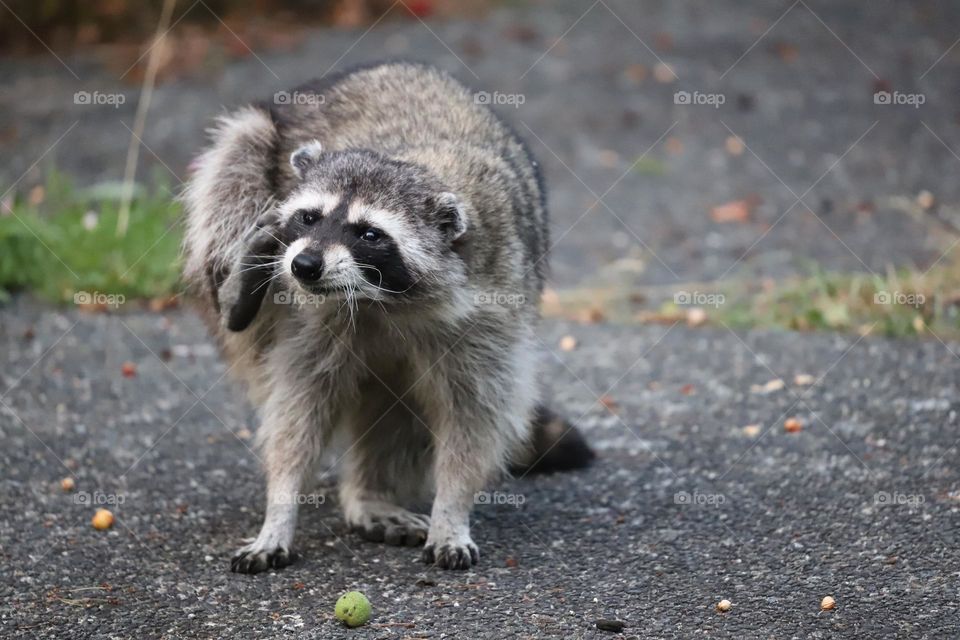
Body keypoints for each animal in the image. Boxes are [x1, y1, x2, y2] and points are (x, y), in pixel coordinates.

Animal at [180, 62, 592, 572]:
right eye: (308, 218)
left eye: (369, 234)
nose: (305, 265)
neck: (384, 299)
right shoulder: (312, 318)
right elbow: (299, 406)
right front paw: (280, 506)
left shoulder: (491, 308)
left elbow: (473, 414)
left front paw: (452, 509)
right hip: (253, 159)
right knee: (233, 173)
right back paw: (239, 292)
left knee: (401, 415)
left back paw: (371, 493)